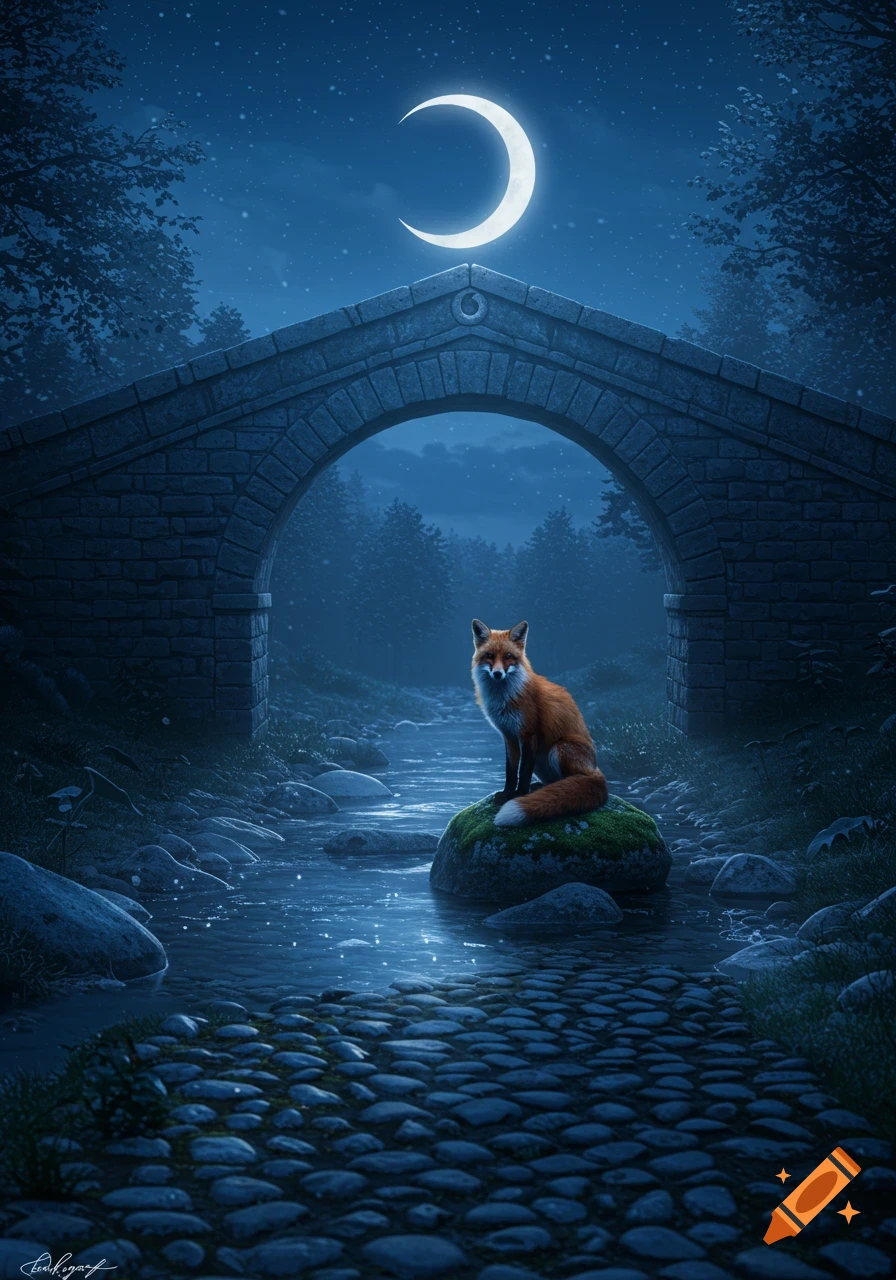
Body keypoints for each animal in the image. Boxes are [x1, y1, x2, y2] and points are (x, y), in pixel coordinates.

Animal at [471, 618, 609, 828]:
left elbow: (524, 771)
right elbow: (511, 770)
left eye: (508, 656)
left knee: (572, 783)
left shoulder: (529, 733)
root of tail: (595, 769)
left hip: (560, 748)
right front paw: (506, 793)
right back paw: (539, 788)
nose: (497, 674)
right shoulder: (509, 736)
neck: (504, 699)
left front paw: (519, 795)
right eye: (490, 655)